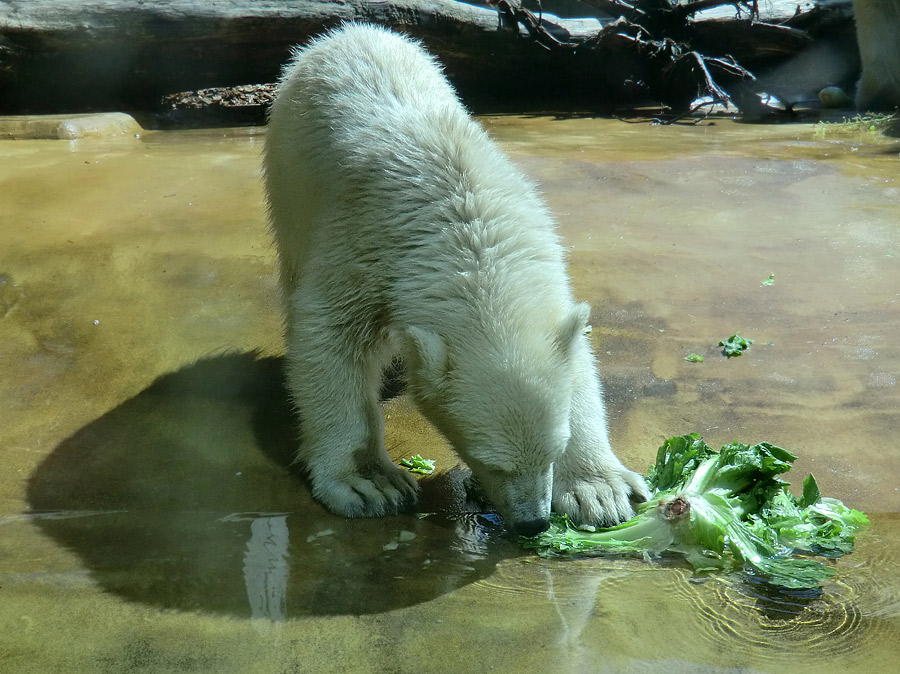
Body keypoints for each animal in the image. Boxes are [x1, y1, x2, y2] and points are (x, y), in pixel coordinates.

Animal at [260, 22, 648, 536]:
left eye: (554, 450)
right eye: (490, 461)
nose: (533, 524)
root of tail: (348, 32)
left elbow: (576, 356)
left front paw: (597, 490)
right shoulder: (362, 242)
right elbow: (329, 334)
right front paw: (370, 482)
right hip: (290, 176)